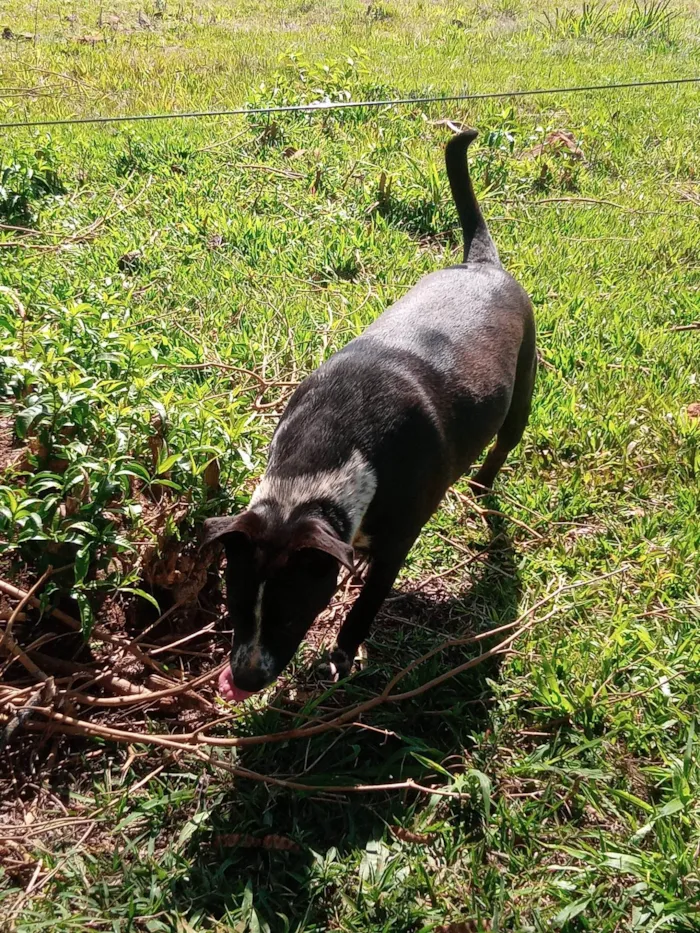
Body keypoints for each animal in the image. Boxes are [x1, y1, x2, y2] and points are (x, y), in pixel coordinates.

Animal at [202, 129, 536, 700]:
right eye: (235, 606)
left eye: (289, 615)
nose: (243, 678)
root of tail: (482, 265)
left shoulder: (399, 542)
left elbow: (364, 607)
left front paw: (340, 656)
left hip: (524, 383)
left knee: (506, 439)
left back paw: (483, 483)